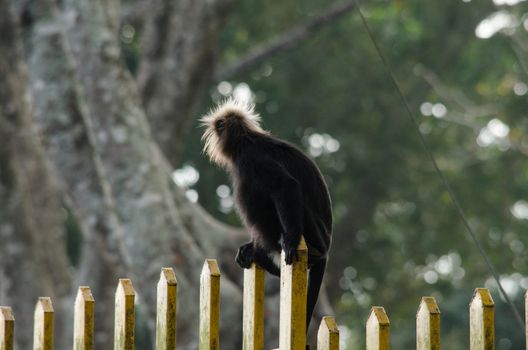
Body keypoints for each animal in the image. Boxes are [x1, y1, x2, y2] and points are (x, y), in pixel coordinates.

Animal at [200, 99, 332, 330]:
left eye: (218, 128)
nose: (214, 135)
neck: (247, 138)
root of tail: (326, 248)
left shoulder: (250, 157)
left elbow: (285, 185)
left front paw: (290, 241)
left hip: (309, 230)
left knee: (251, 190)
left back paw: (265, 254)